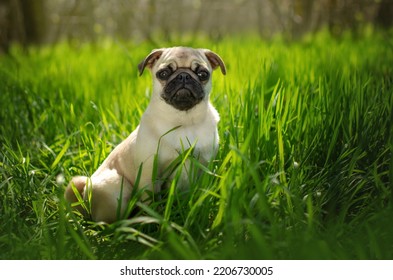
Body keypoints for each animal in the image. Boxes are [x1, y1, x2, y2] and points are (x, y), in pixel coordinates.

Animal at [64, 47, 224, 223]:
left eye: (203, 74)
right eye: (163, 73)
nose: (184, 76)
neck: (183, 121)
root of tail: (85, 192)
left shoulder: (205, 166)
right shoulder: (149, 172)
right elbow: (151, 201)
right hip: (116, 185)